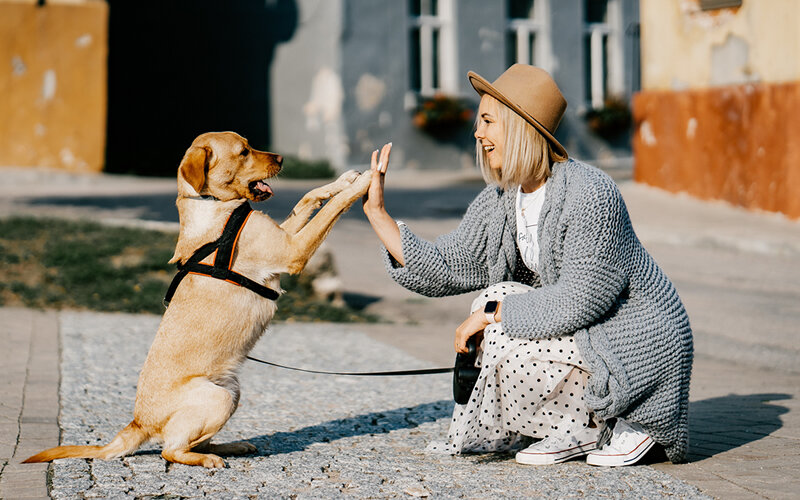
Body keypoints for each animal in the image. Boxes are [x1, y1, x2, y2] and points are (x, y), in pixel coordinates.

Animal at [23, 131, 376, 466]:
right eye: (243, 152)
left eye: (249, 145)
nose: (281, 158)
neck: (213, 204)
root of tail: (138, 423)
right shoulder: (293, 250)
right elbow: (331, 209)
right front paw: (365, 182)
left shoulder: (285, 236)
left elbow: (308, 197)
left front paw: (344, 180)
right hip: (218, 399)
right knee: (170, 450)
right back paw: (208, 459)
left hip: (231, 391)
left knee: (193, 441)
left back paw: (231, 447)